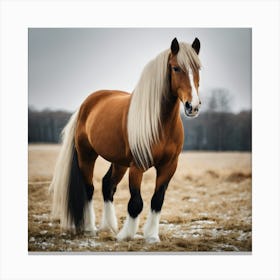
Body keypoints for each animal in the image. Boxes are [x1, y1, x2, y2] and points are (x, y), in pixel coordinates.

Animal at [49, 37, 201, 243]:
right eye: (176, 68)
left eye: (199, 68)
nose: (193, 106)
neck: (160, 124)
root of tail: (86, 104)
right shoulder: (137, 166)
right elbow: (136, 202)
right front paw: (126, 235)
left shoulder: (169, 166)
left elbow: (157, 200)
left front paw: (152, 236)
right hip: (86, 155)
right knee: (89, 189)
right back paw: (90, 228)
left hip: (119, 162)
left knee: (107, 185)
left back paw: (108, 226)